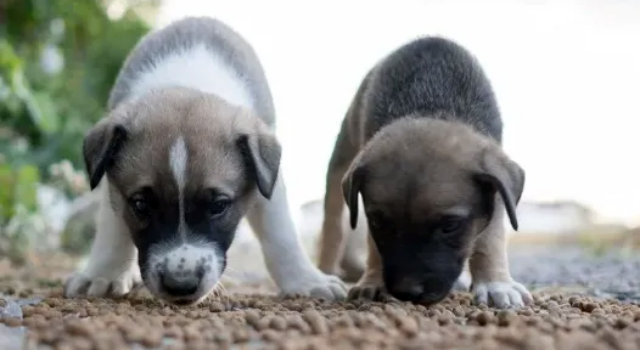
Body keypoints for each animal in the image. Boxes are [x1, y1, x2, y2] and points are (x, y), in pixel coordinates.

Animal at [62, 16, 348, 304]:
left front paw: (306, 281)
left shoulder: (268, 183)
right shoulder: (114, 186)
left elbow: (281, 235)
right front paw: (101, 274)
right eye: (141, 205)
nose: (180, 285)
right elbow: (112, 233)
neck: (187, 83)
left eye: (218, 205)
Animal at [318, 35, 532, 308]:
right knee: (333, 224)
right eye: (378, 221)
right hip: (341, 160)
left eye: (450, 226)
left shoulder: (495, 191)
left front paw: (495, 283)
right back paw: (324, 272)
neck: (430, 107)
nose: (406, 293)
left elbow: (490, 239)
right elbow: (374, 246)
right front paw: (372, 280)